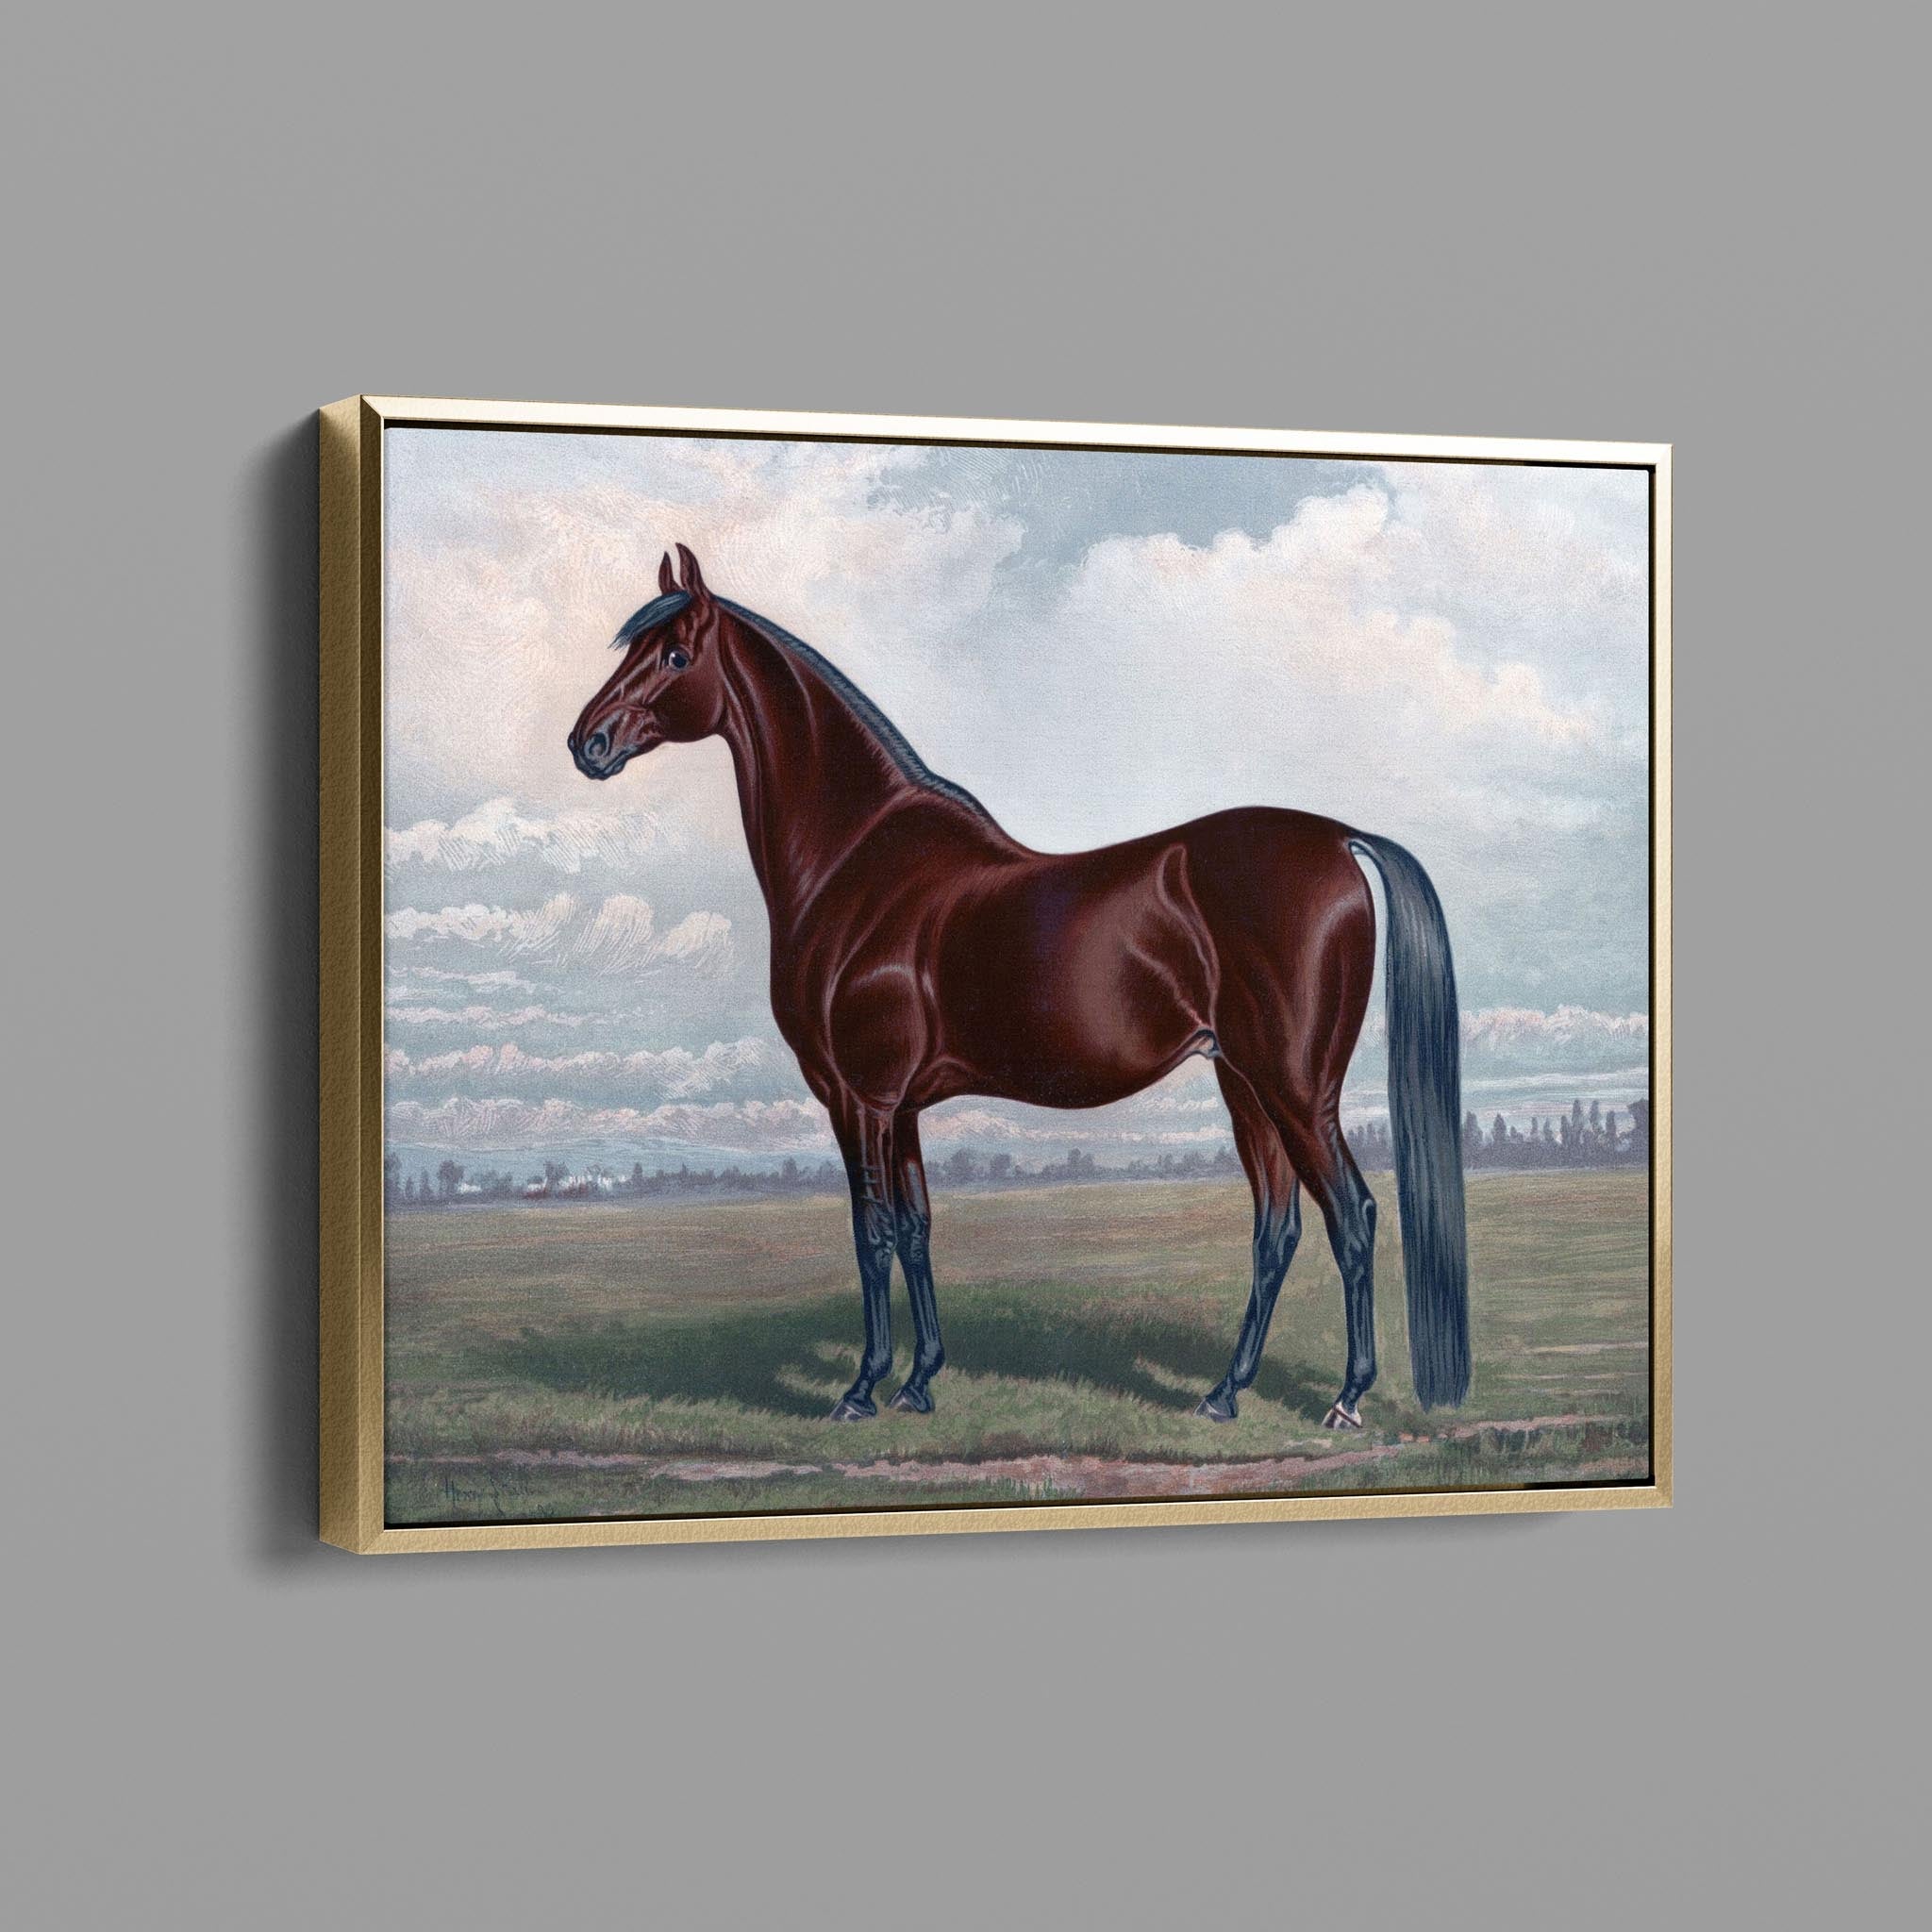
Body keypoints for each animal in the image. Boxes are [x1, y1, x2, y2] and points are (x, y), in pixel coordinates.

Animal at [569, 544, 1469, 1430]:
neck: (856, 860)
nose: (588, 742)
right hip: (1244, 1084)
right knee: (1275, 1228)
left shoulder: (859, 1099)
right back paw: (1223, 1393)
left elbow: (872, 1233)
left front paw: (862, 1388)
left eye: (675, 655)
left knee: (1351, 1218)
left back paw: (1346, 1398)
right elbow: (918, 1228)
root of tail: (1341, 840)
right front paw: (921, 1381)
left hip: (1296, 1089)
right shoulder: (902, 1107)